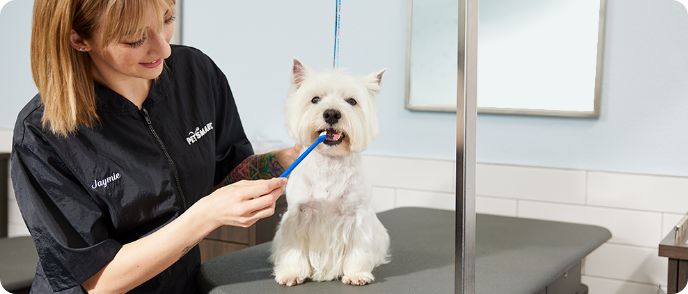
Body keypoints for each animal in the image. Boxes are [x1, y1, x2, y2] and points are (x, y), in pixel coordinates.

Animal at [270, 58, 390, 286]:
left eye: (351, 101)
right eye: (315, 99)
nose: (332, 113)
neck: (330, 162)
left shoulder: (357, 216)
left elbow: (358, 248)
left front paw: (356, 274)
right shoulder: (297, 214)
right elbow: (293, 248)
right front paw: (291, 273)